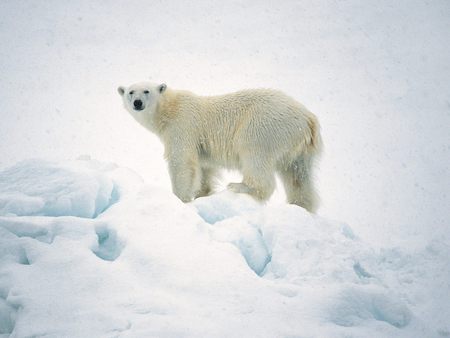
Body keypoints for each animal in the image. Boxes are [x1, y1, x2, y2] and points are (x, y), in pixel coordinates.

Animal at [118, 82, 322, 211]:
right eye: (130, 92)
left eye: (146, 91)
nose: (137, 103)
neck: (169, 109)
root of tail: (308, 118)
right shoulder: (201, 146)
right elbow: (204, 168)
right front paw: (202, 194)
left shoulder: (182, 126)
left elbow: (181, 162)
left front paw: (180, 198)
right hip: (300, 148)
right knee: (298, 176)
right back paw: (300, 205)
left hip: (264, 126)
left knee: (255, 156)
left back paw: (239, 186)